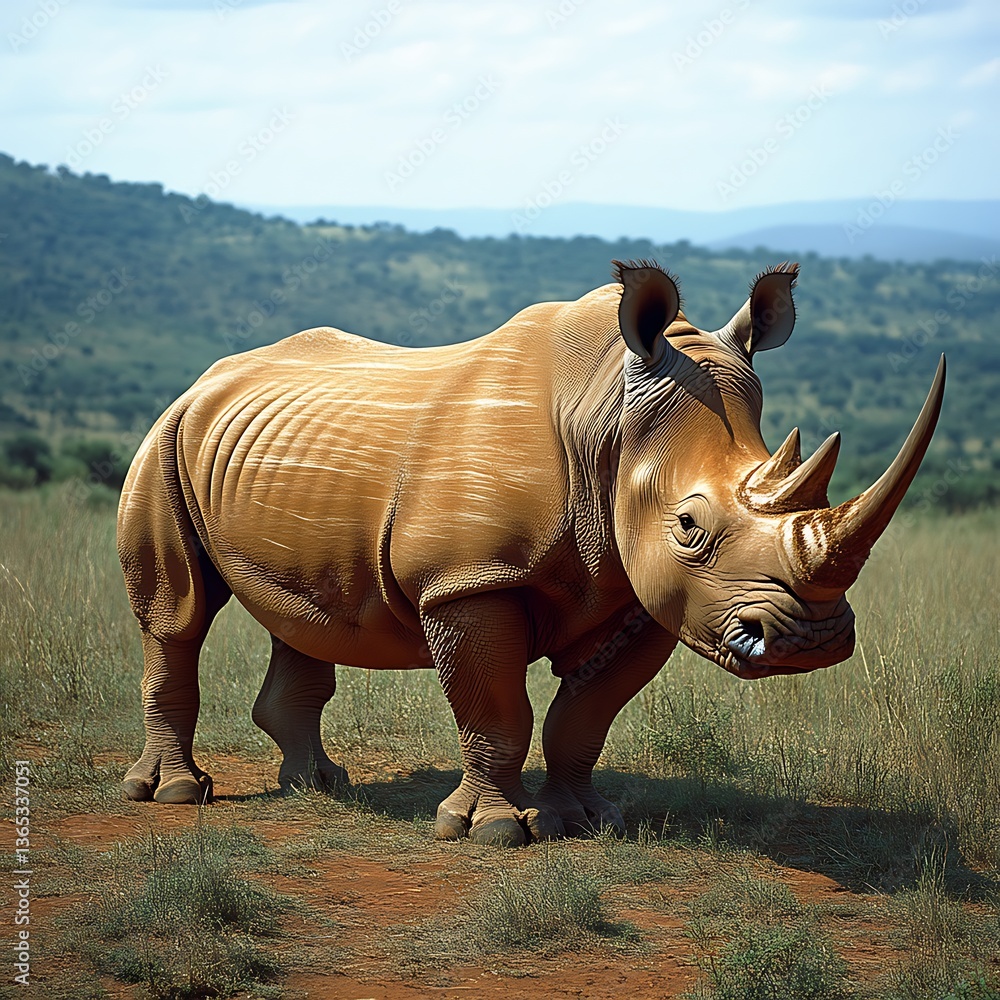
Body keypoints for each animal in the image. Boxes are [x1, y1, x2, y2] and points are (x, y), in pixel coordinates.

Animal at [118, 260, 945, 846]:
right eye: (688, 526)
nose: (813, 640)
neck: (607, 418)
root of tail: (206, 379)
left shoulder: (642, 591)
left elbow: (586, 714)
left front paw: (589, 820)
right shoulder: (467, 581)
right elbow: (496, 709)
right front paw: (494, 831)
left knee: (304, 612)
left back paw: (321, 786)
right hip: (164, 436)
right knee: (177, 614)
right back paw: (174, 793)